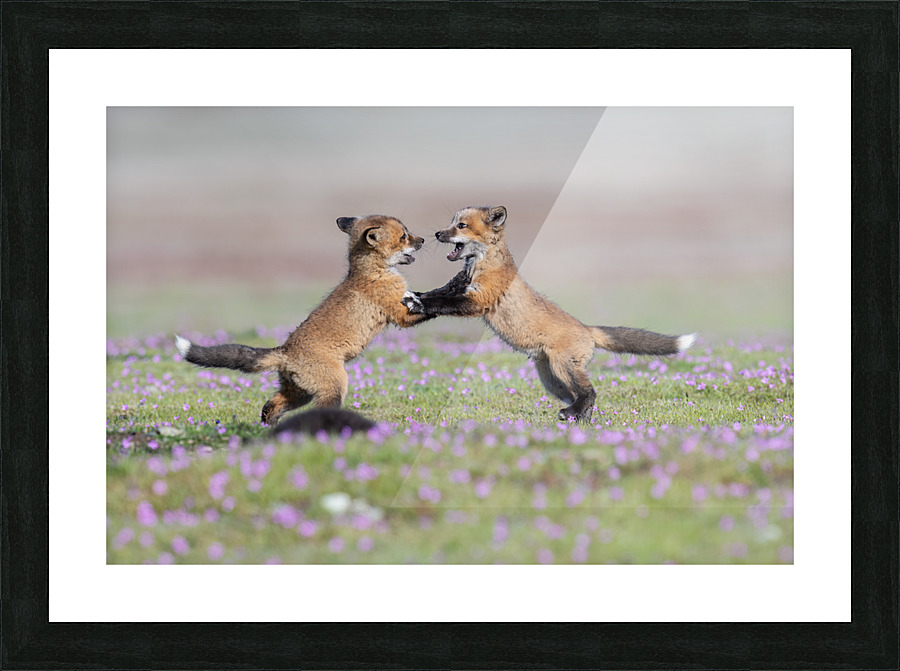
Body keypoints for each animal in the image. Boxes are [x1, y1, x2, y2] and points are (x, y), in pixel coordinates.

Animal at [176, 214, 430, 425]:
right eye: (404, 236)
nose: (424, 239)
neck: (372, 272)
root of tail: (285, 351)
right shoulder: (400, 315)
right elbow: (426, 308)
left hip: (299, 393)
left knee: (271, 406)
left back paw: (269, 430)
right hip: (333, 387)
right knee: (319, 409)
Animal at [403, 205, 696, 423]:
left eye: (461, 226)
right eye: (451, 223)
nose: (437, 234)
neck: (480, 265)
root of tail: (587, 328)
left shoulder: (478, 300)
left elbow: (442, 303)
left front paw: (420, 305)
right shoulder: (457, 285)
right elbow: (435, 294)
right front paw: (414, 297)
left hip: (563, 367)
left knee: (591, 391)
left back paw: (573, 415)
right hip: (553, 381)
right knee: (583, 397)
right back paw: (581, 419)